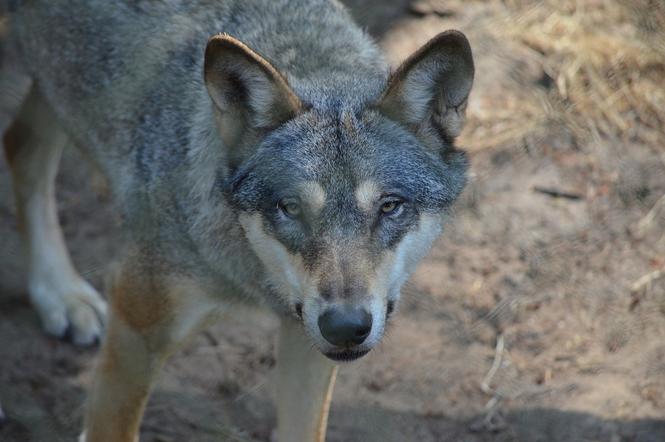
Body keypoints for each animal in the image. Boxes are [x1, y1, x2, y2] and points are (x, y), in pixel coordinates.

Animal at [0, 1, 472, 440]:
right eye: (289, 207)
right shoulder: (136, 327)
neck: (250, 277)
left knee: (22, 145)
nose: (345, 327)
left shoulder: (306, 343)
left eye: (389, 206)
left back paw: (59, 294)